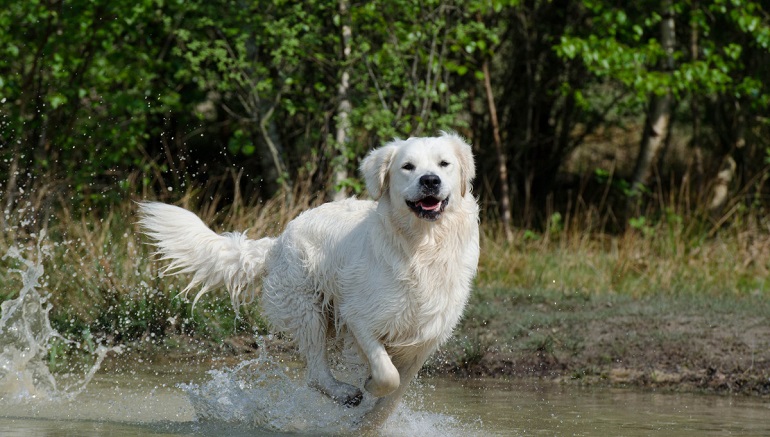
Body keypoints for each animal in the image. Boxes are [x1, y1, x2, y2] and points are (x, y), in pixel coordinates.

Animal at [136, 132, 476, 426]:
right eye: (408, 166)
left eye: (444, 164)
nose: (430, 180)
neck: (422, 247)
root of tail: (278, 241)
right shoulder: (359, 317)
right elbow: (386, 375)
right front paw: (366, 387)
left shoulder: (425, 339)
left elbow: (393, 397)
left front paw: (369, 424)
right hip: (308, 308)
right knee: (315, 373)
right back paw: (344, 393)